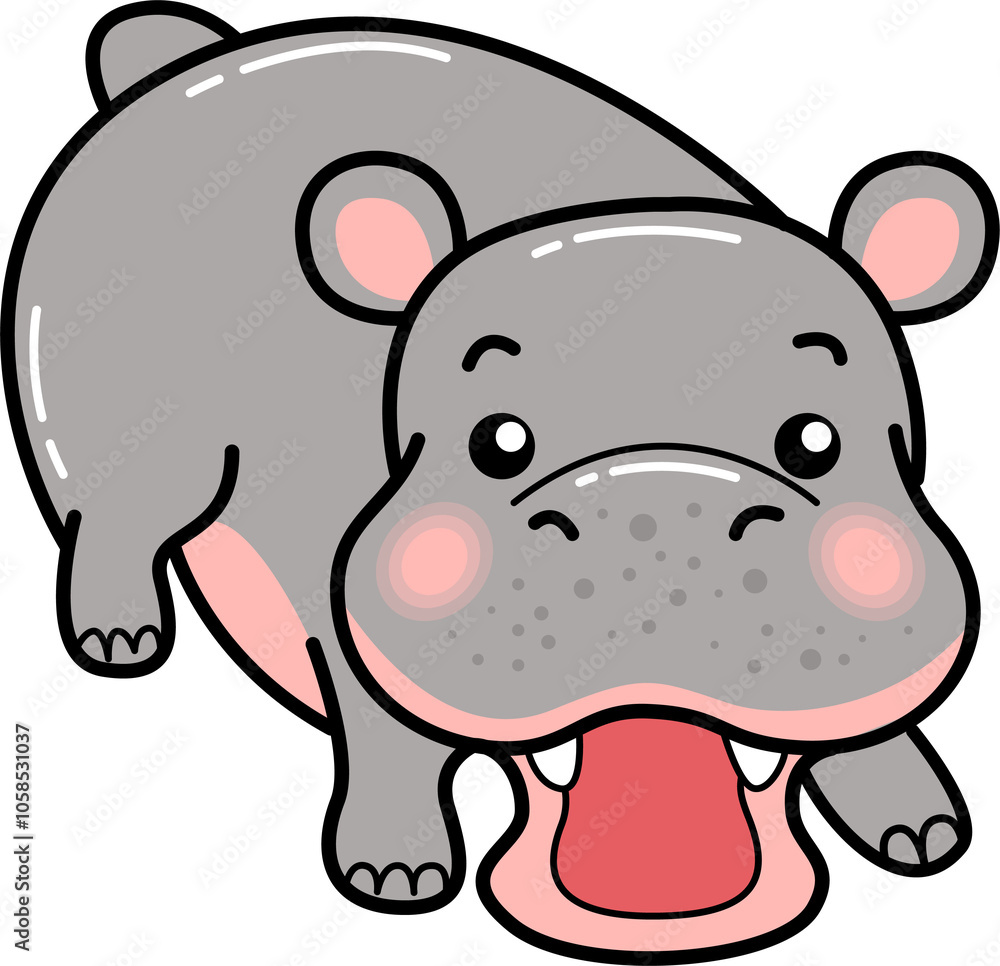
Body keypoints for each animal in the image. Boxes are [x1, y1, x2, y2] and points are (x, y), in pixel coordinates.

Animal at [3, 3, 996, 963]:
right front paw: (394, 877)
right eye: (497, 441)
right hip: (131, 438)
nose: (658, 511)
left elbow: (879, 727)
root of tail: (189, 59)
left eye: (816, 440)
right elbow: (390, 744)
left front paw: (928, 833)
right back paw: (118, 641)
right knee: (119, 525)